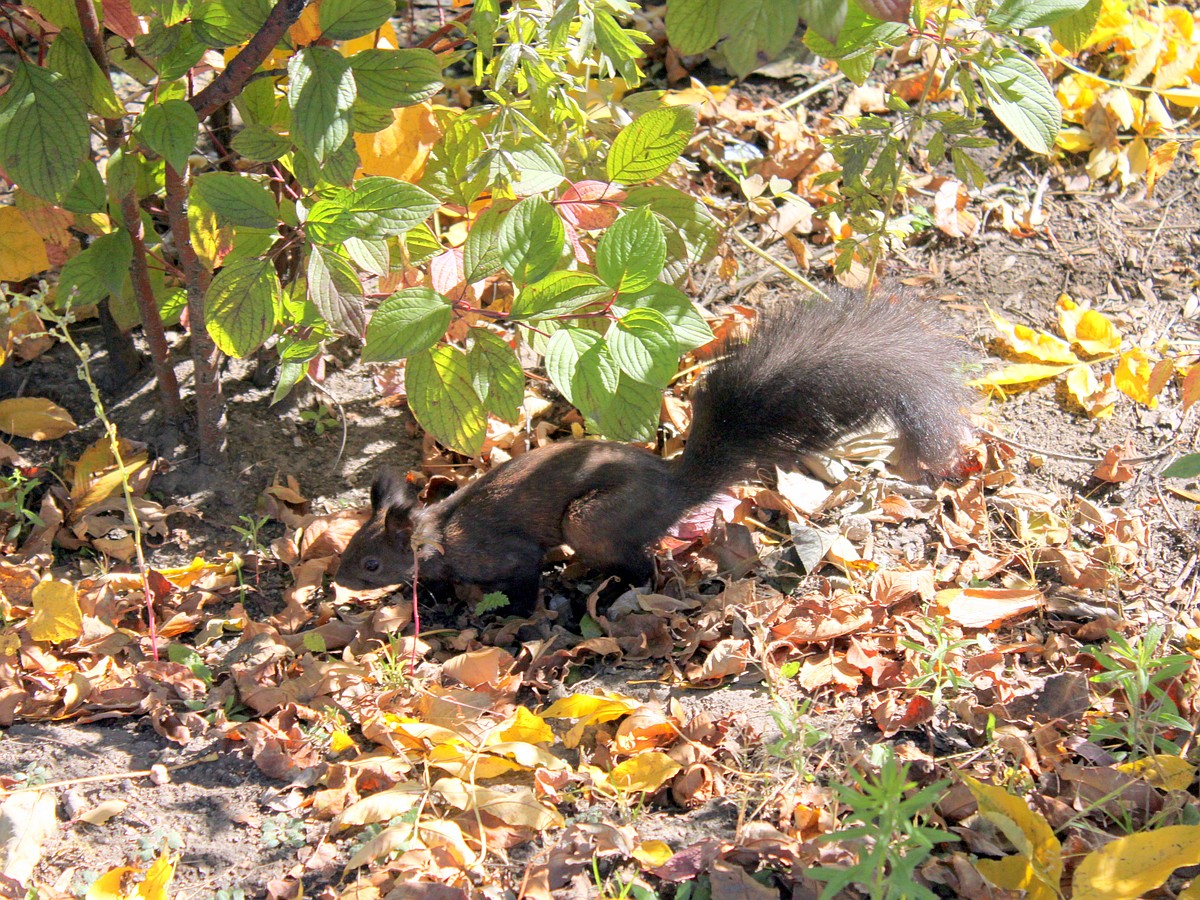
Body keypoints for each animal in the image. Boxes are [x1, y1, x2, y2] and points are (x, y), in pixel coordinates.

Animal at [333, 292, 969, 619]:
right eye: (350, 549)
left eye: (370, 564)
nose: (335, 581)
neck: (438, 532)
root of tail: (674, 484)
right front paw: (431, 597)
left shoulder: (503, 553)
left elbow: (521, 582)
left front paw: (510, 620)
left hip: (592, 518)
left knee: (643, 564)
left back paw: (611, 593)